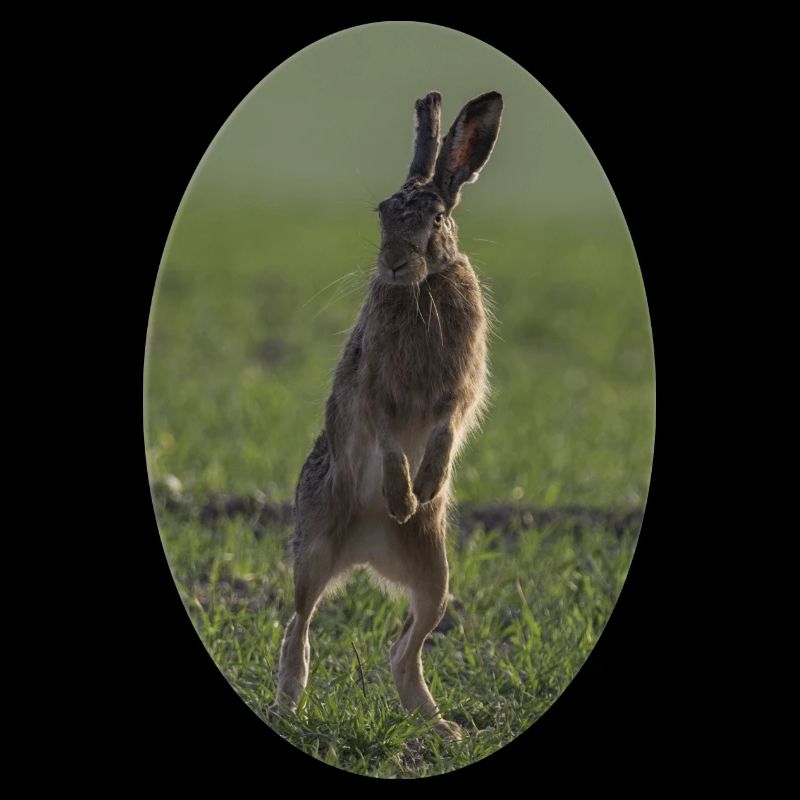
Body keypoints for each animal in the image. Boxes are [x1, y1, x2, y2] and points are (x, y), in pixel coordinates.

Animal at [273, 90, 503, 740]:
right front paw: (403, 494)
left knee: (406, 647)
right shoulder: (375, 392)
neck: (423, 288)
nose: (396, 264)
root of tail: (368, 553)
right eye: (382, 213)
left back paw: (444, 729)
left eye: (436, 218)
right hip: (315, 545)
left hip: (435, 576)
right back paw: (288, 704)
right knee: (299, 622)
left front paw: (424, 489)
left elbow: (445, 430)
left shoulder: (457, 393)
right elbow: (387, 438)